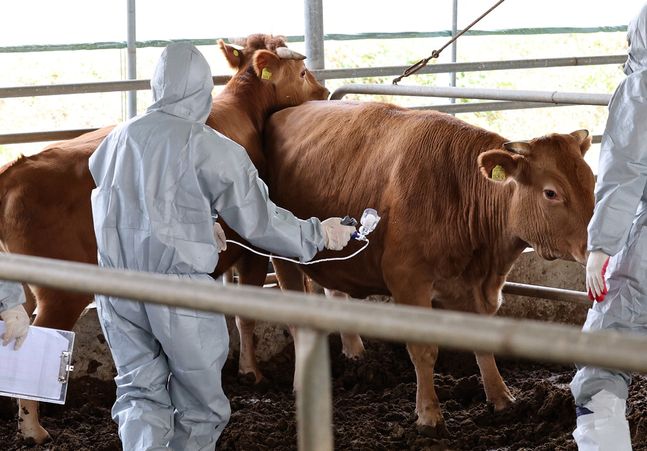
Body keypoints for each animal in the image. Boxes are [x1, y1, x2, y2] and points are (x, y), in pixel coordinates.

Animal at [256, 100, 592, 436]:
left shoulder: (473, 285)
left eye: (591, 182)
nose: (594, 244)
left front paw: (501, 398)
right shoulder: (408, 280)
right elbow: (424, 349)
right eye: (551, 192)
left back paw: (355, 355)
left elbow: (483, 344)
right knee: (296, 320)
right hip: (282, 255)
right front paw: (429, 415)